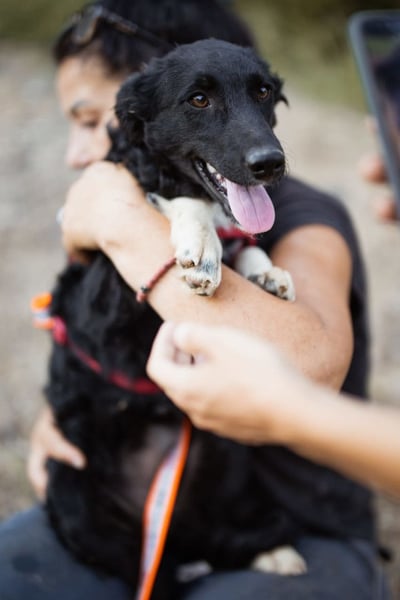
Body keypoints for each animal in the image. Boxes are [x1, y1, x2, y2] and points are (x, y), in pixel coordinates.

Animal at [45, 40, 303, 597]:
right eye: (198, 99)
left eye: (262, 92)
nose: (270, 164)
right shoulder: (105, 299)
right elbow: (191, 208)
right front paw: (201, 245)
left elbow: (246, 239)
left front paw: (266, 271)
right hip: (72, 491)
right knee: (147, 572)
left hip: (230, 453)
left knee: (221, 536)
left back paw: (271, 551)